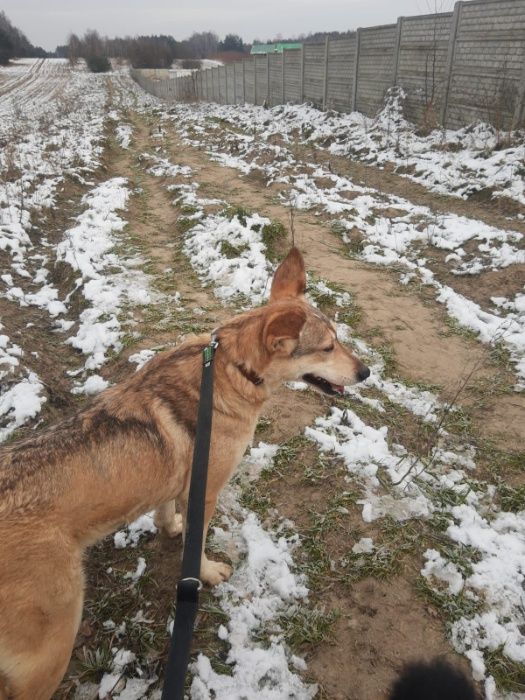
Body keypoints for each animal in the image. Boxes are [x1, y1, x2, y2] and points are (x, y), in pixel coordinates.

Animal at [0, 249, 368, 696]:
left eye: (339, 339)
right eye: (328, 347)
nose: (366, 372)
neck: (232, 367)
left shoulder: (176, 484)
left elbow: (165, 513)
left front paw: (171, 527)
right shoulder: (206, 490)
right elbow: (199, 544)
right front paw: (206, 572)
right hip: (50, 650)